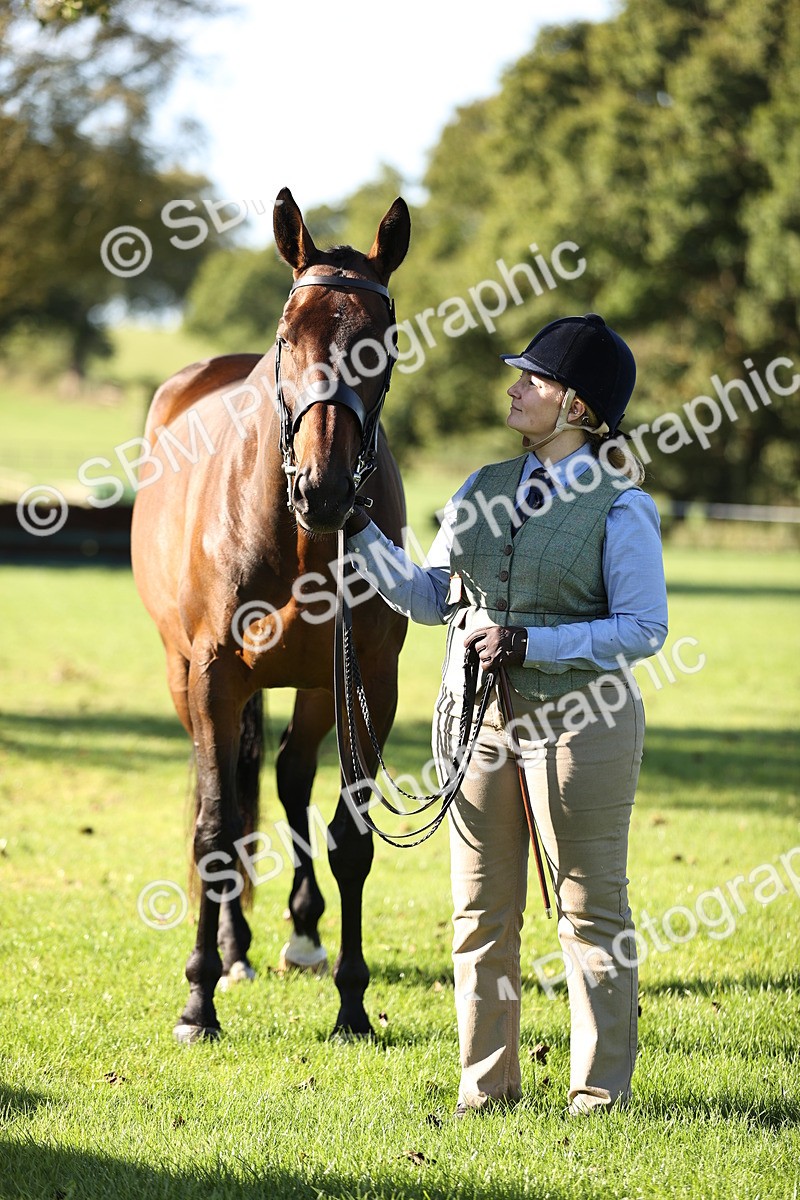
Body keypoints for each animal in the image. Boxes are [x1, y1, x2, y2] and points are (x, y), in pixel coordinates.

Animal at [130, 188, 410, 1042]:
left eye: (380, 345)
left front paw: (351, 1004)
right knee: (229, 790)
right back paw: (233, 949)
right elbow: (216, 829)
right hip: (183, 675)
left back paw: (301, 934)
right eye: (289, 339)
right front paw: (198, 999)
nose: (324, 488)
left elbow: (350, 839)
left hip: (316, 689)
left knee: (285, 778)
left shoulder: (366, 684)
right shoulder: (213, 677)